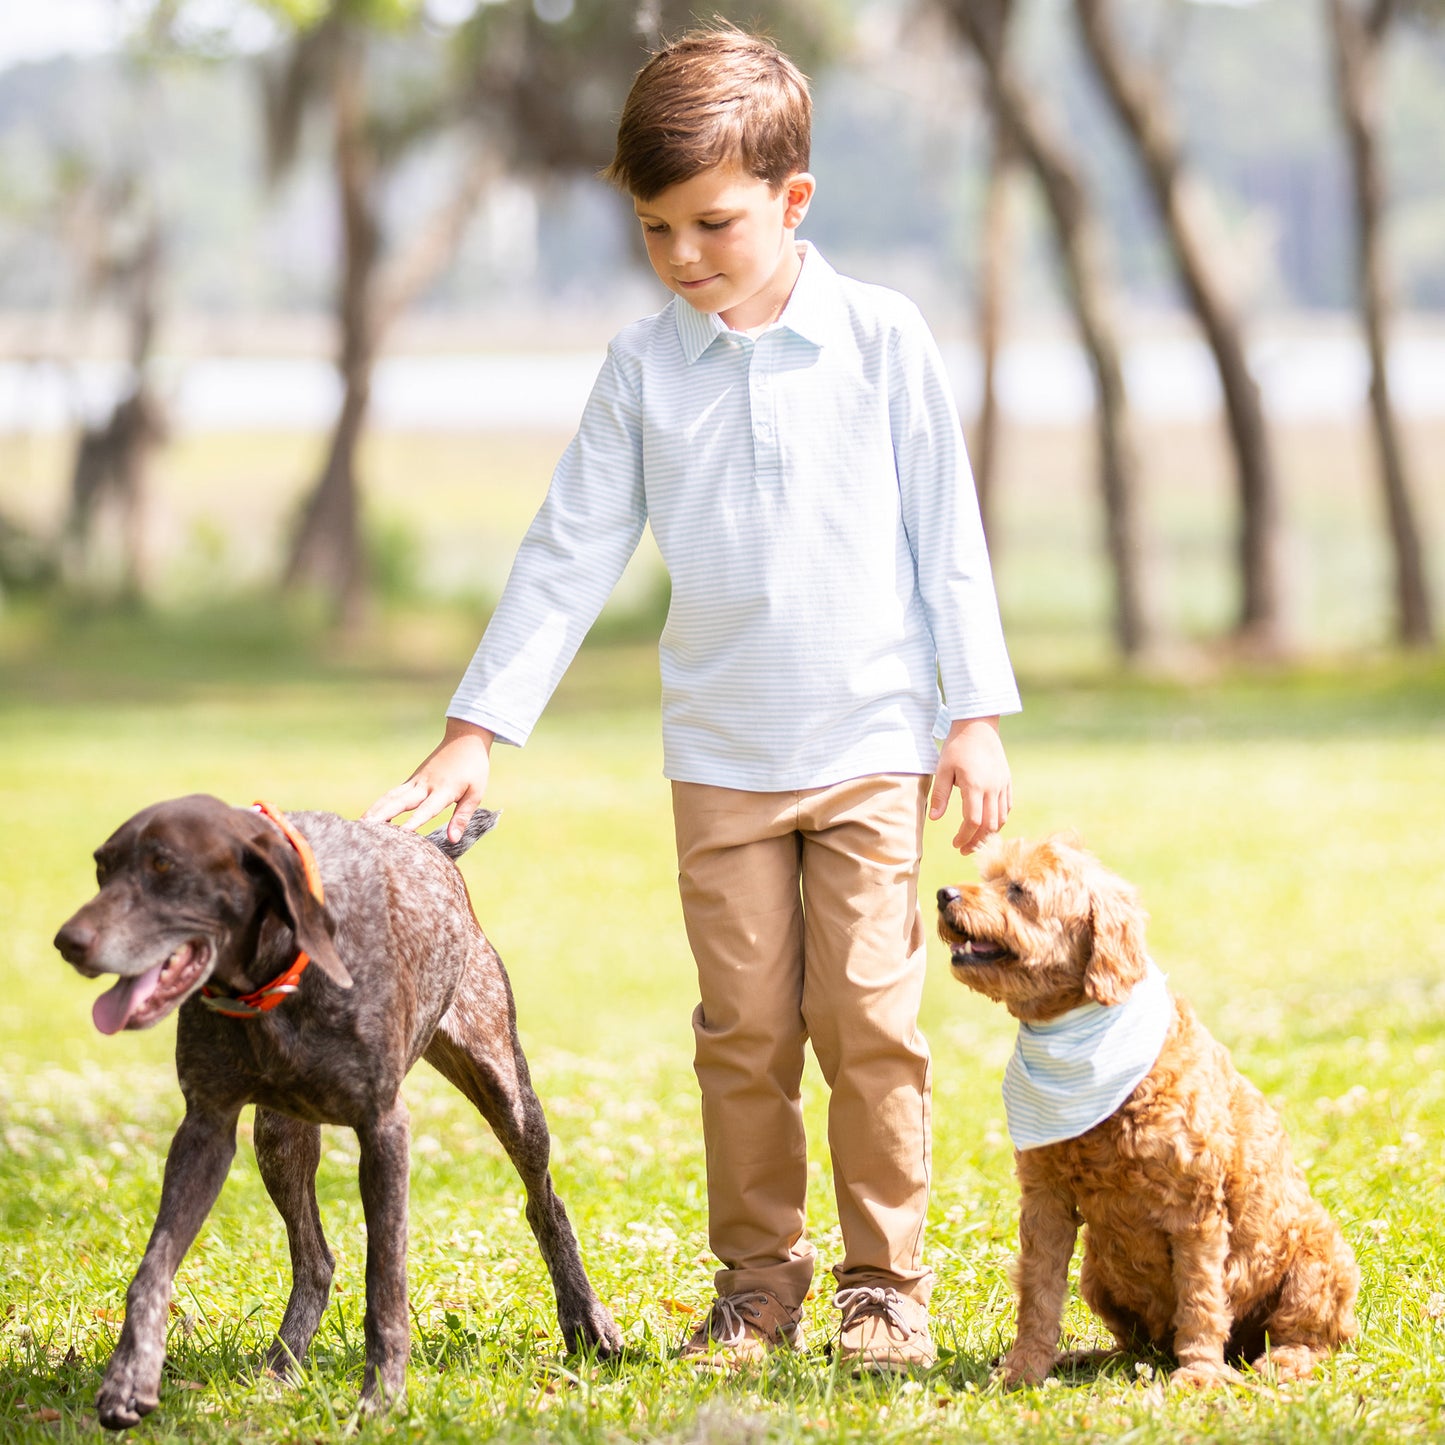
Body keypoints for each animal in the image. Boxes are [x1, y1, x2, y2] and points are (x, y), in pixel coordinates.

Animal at [49, 797, 615, 1427]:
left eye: (165, 866)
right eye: (102, 868)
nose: (68, 941)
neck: (273, 974)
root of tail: (434, 849)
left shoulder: (384, 1130)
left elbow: (385, 1281)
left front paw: (383, 1396)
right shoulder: (205, 1128)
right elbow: (153, 1266)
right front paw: (130, 1375)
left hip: (506, 1091)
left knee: (545, 1203)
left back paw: (587, 1319)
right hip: (278, 1136)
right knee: (314, 1259)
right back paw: (281, 1364)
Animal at [936, 838, 1352, 1387]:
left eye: (1019, 889)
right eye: (988, 876)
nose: (943, 893)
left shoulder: (1196, 1209)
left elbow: (1200, 1300)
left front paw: (1199, 1375)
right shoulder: (1045, 1199)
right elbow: (1039, 1293)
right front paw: (1025, 1367)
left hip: (1320, 1257)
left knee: (1308, 1336)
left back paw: (1283, 1359)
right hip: (1097, 1271)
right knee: (1134, 1345)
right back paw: (1086, 1358)